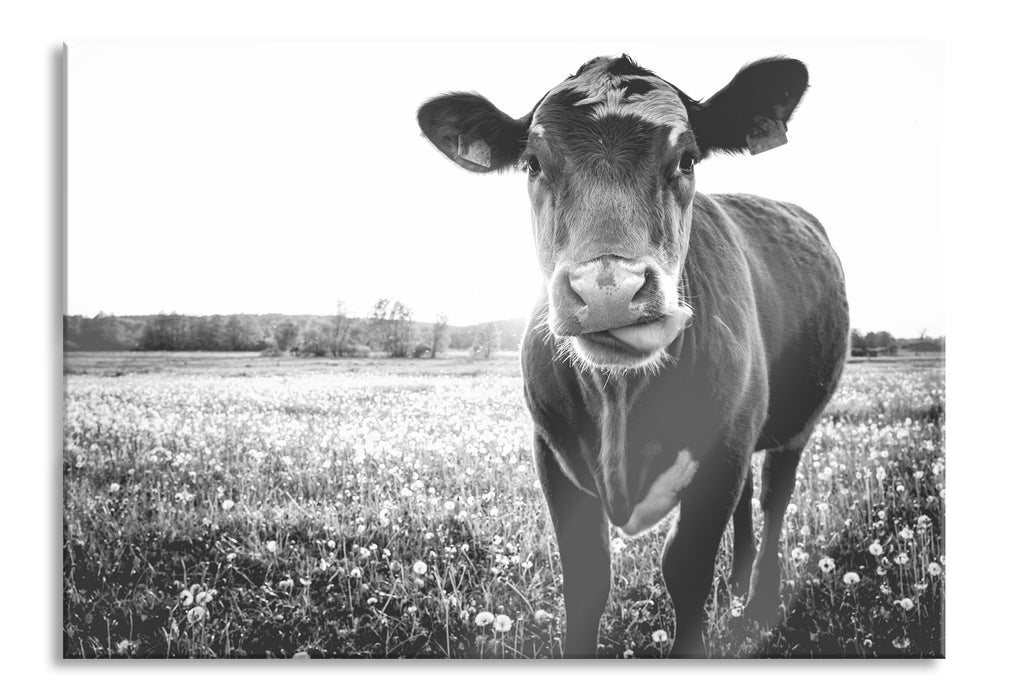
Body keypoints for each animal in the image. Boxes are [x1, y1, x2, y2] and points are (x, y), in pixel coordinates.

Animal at [417, 53, 851, 657]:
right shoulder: (552, 454)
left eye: (687, 158)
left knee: (773, 498)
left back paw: (760, 600)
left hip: (794, 424)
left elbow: (686, 569)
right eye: (533, 163)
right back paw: (737, 583)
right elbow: (586, 577)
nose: (609, 289)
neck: (621, 402)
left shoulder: (721, 451)